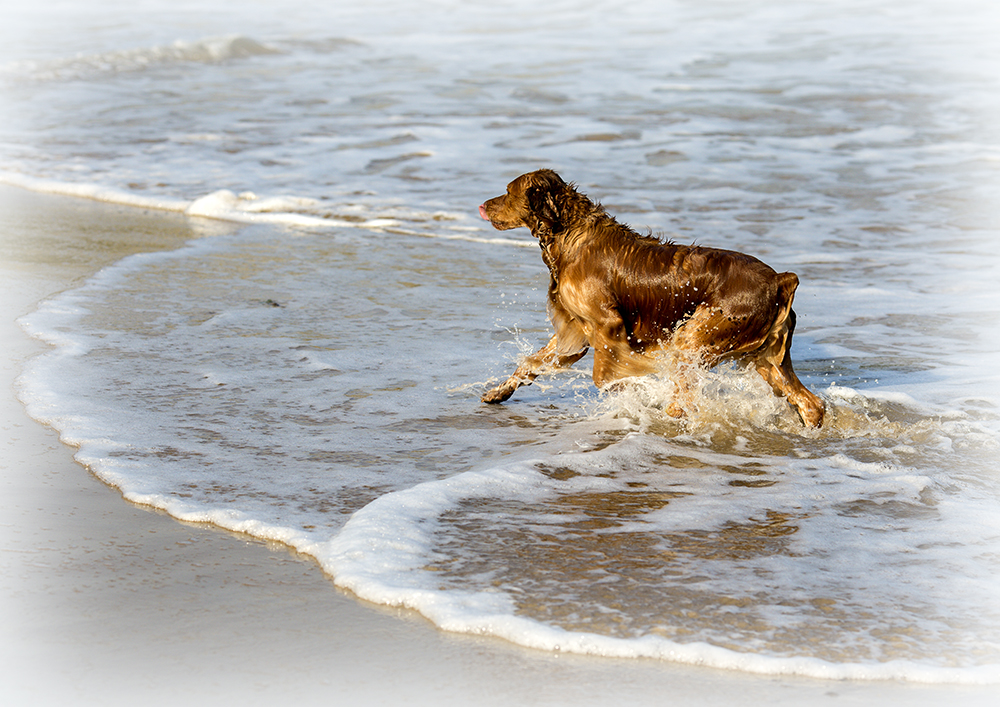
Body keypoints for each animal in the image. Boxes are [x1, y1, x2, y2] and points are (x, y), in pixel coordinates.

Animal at [480, 169, 824, 428]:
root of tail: (779, 280)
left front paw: (639, 389)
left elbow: (605, 376)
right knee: (811, 403)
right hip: (765, 357)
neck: (569, 236)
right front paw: (499, 392)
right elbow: (530, 363)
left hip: (695, 338)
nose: (483, 205)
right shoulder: (575, 332)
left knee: (684, 399)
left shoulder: (608, 325)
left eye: (508, 192)